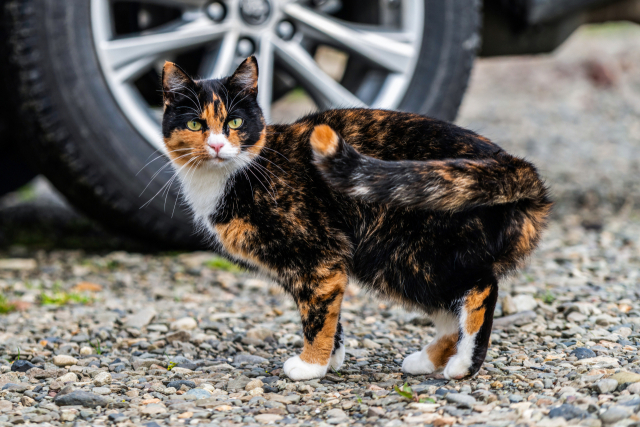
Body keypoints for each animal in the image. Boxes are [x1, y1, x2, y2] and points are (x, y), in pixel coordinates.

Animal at [159, 56, 552, 382]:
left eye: (235, 121)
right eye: (194, 123)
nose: (216, 146)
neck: (240, 172)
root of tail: (511, 164)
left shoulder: (318, 256)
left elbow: (317, 316)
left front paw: (311, 365)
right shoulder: (310, 269)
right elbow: (325, 314)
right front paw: (330, 359)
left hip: (407, 251)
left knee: (481, 288)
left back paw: (462, 366)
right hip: (403, 263)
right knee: (450, 309)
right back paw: (426, 360)